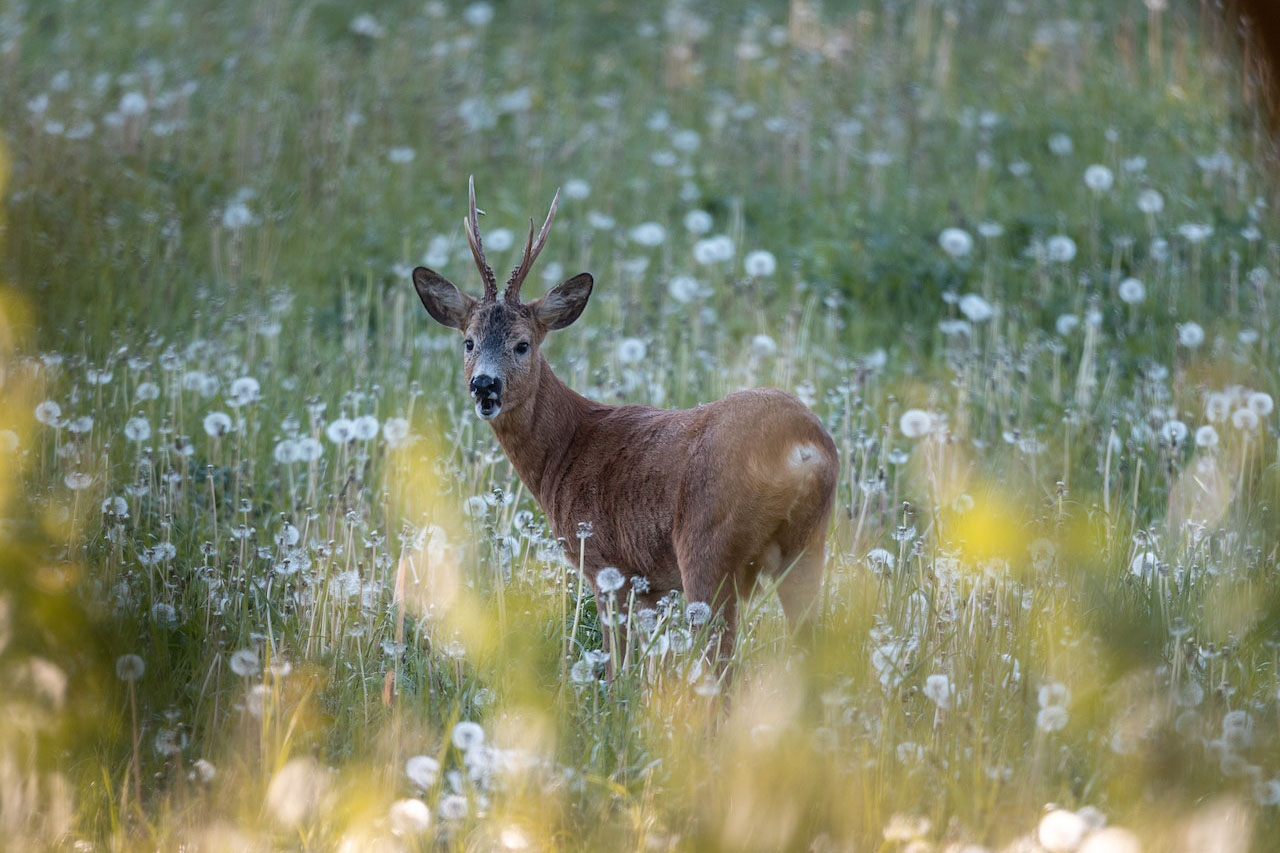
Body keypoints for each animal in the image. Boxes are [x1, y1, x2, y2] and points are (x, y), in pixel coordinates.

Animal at [414, 175, 839, 660]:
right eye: (468, 341)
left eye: (522, 344)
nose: (485, 385)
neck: (566, 448)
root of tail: (801, 445)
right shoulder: (650, 585)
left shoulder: (605, 564)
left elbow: (615, 660)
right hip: (809, 546)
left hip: (707, 545)